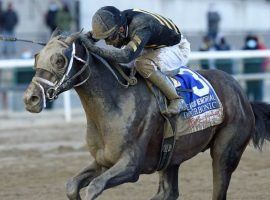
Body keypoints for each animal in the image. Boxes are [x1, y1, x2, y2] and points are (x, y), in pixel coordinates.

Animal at [23, 32, 270, 199]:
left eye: (59, 60)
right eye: (36, 57)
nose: (30, 98)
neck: (115, 103)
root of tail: (243, 96)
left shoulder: (130, 166)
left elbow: (94, 187)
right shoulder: (103, 161)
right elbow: (72, 186)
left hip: (225, 152)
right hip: (171, 157)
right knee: (168, 192)